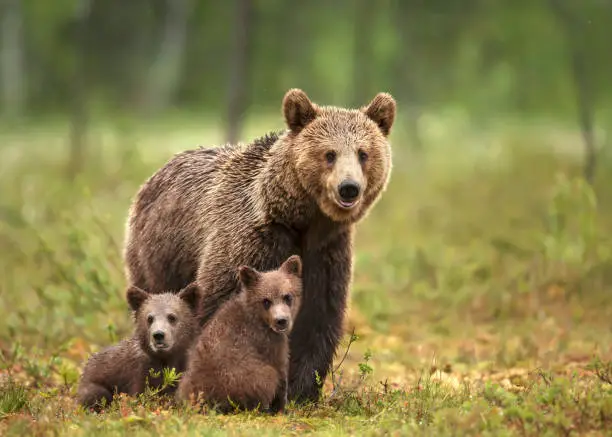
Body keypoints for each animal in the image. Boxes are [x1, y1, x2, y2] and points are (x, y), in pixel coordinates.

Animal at [123, 88, 396, 402]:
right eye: (329, 154)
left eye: (364, 153)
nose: (349, 188)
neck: (302, 221)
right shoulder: (251, 242)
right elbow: (219, 307)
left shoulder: (326, 254)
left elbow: (317, 319)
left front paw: (301, 390)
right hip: (159, 254)